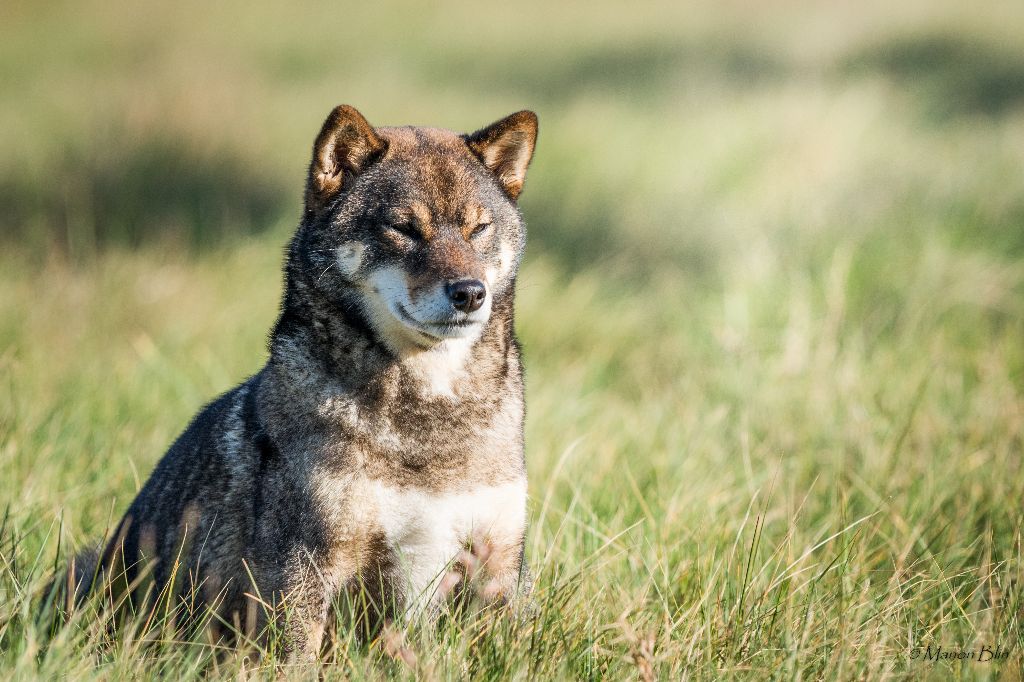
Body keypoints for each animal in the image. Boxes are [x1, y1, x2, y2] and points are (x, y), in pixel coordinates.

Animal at [59, 105, 539, 659]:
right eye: (404, 229)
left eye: (478, 228)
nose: (469, 293)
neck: (433, 419)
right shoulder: (303, 570)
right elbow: (296, 660)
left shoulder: (496, 565)